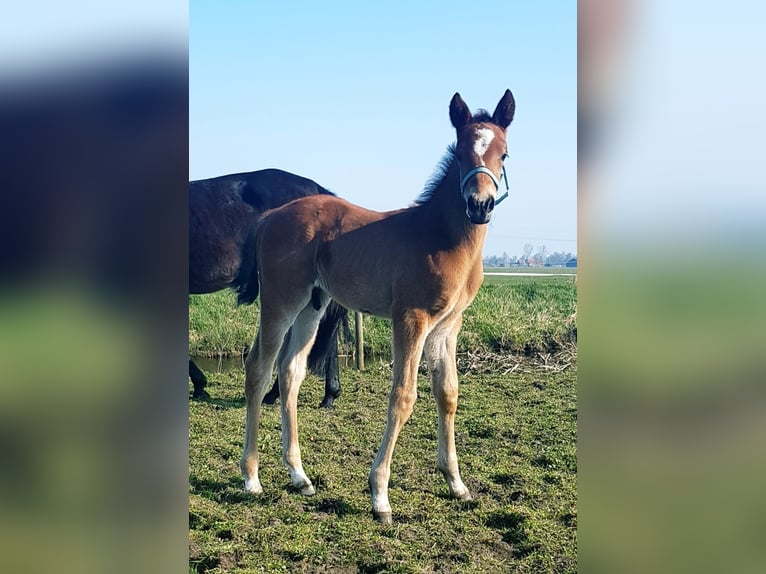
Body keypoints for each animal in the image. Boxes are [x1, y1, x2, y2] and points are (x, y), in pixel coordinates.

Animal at [234, 91, 520, 528]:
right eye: (460, 154)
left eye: (503, 154)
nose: (479, 205)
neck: (440, 237)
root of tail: (269, 217)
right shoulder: (411, 319)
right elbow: (403, 396)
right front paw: (380, 496)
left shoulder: (448, 325)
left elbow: (448, 393)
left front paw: (456, 483)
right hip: (281, 301)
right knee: (259, 368)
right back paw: (251, 477)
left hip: (313, 307)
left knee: (291, 373)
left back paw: (299, 476)